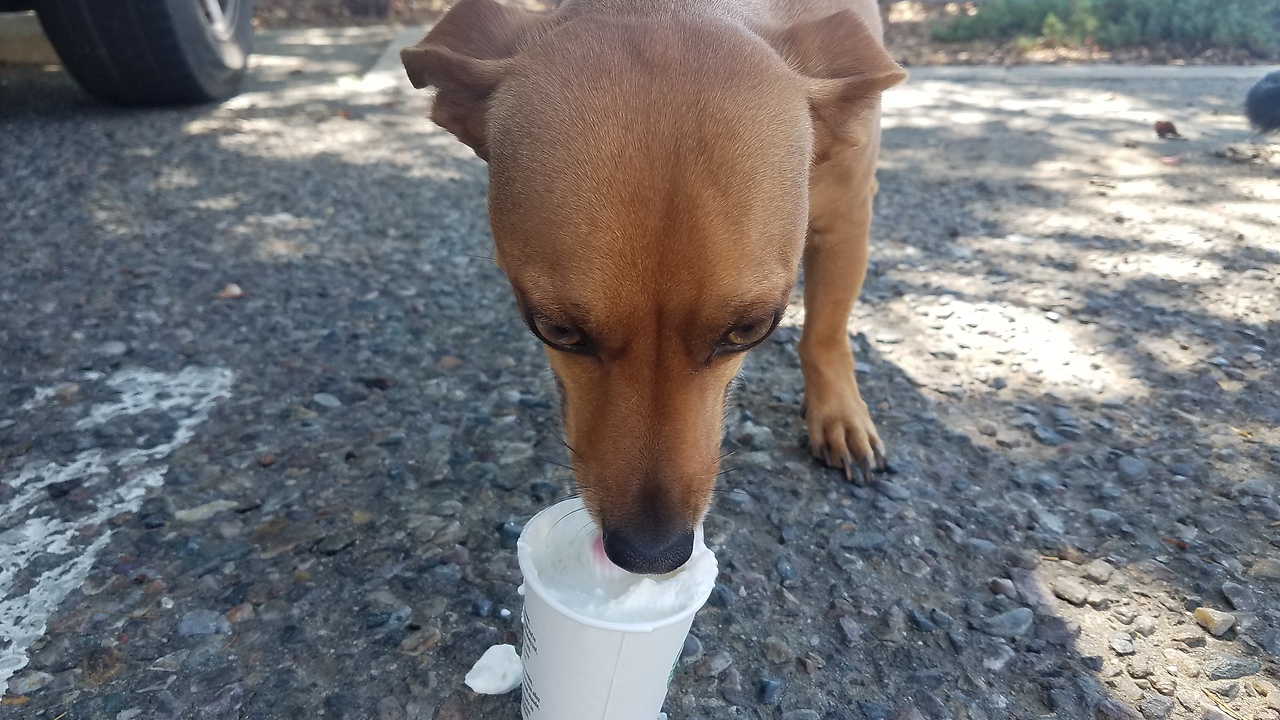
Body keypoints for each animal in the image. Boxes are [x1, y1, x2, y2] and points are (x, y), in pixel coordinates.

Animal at [404, 0, 906, 571]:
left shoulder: (848, 218)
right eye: (556, 330)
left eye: (751, 329)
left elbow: (824, 333)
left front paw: (839, 411)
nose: (652, 555)